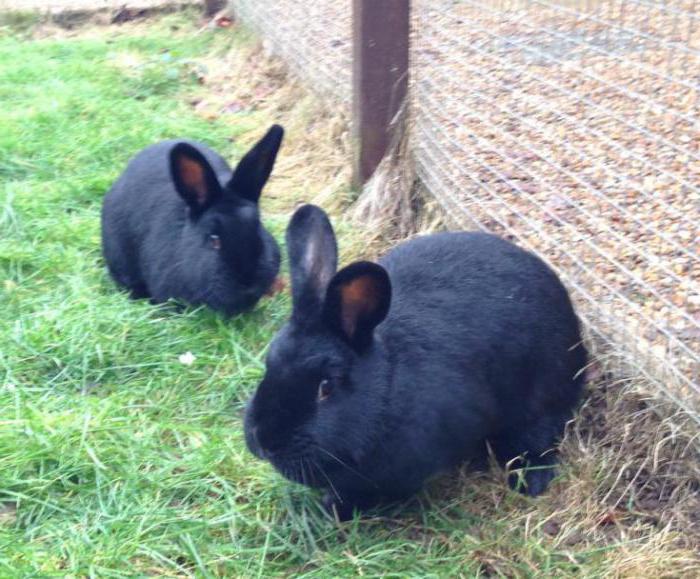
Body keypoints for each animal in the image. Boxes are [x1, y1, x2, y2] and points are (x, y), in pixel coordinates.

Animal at [243, 205, 588, 520]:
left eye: (325, 387)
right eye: (269, 363)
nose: (263, 441)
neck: (385, 391)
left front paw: (334, 509)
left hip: (541, 398)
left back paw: (530, 482)